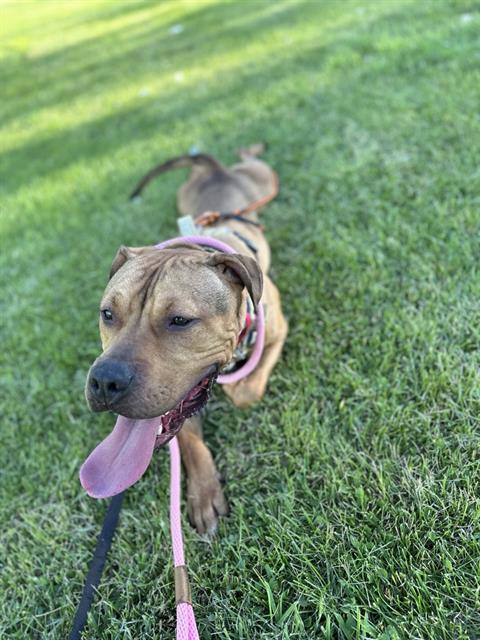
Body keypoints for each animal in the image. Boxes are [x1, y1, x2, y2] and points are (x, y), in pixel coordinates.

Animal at [80, 146, 286, 536]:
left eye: (179, 321)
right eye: (107, 314)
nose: (105, 382)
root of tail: (216, 169)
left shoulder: (279, 332)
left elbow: (247, 392)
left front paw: (238, 388)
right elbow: (188, 439)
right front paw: (203, 492)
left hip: (263, 176)